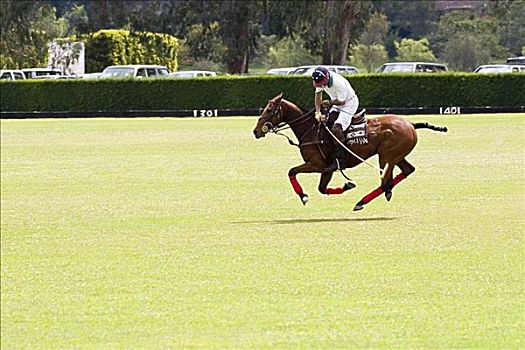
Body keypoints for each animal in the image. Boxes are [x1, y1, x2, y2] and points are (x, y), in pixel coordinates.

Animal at [253, 91, 446, 211]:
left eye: (269, 110)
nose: (256, 131)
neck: (310, 129)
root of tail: (411, 124)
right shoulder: (327, 169)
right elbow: (322, 188)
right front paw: (347, 185)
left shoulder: (317, 164)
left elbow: (291, 171)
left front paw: (303, 196)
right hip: (397, 155)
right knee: (406, 171)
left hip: (387, 156)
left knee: (386, 181)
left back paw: (362, 202)